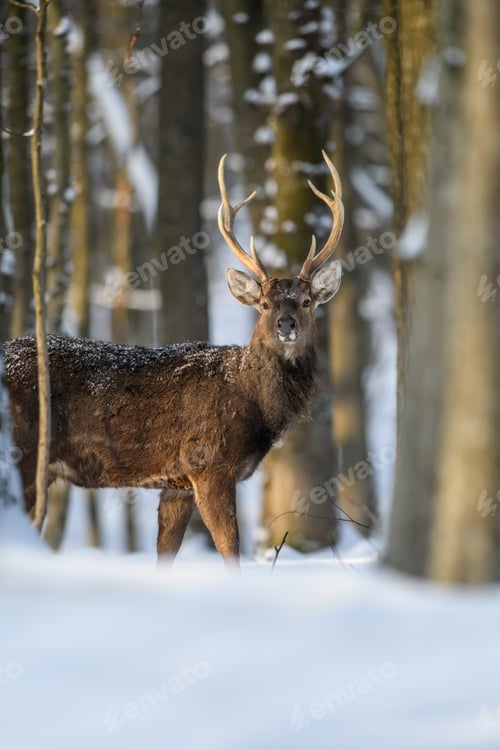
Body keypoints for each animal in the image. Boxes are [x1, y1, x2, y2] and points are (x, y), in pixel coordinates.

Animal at [2, 151, 343, 564]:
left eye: (307, 301)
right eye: (264, 304)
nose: (286, 324)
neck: (253, 402)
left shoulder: (177, 483)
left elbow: (166, 554)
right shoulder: (207, 463)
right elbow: (230, 549)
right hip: (23, 451)